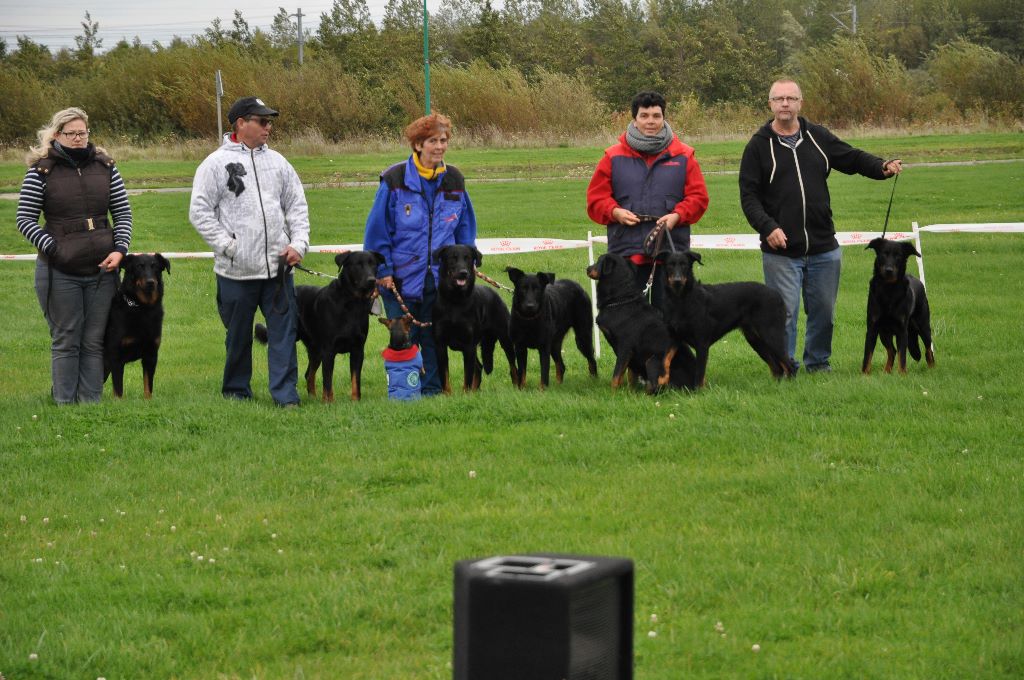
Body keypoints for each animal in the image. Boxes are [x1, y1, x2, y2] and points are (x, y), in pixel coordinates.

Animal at [256, 249, 385, 399]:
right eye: (357, 264)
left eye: (374, 264)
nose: (372, 280)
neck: (352, 303)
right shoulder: (329, 350)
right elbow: (328, 382)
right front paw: (329, 402)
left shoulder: (358, 349)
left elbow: (355, 381)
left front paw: (355, 400)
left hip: (316, 349)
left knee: (308, 374)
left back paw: (313, 398)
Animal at [432, 244, 516, 393]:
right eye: (452, 258)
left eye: (468, 258)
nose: (463, 272)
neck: (455, 301)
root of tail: (495, 293)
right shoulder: (440, 345)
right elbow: (444, 377)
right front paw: (447, 395)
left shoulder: (469, 345)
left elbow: (467, 376)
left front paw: (465, 394)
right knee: (479, 366)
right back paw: (475, 391)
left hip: (505, 337)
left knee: (513, 366)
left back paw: (519, 386)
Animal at [585, 253, 688, 393]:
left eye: (599, 261)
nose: (587, 269)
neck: (620, 300)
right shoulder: (631, 354)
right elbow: (630, 374)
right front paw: (630, 392)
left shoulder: (625, 347)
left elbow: (617, 374)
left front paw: (613, 392)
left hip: (652, 361)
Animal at [659, 248, 794, 387]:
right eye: (670, 265)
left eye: (684, 265)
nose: (677, 280)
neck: (680, 300)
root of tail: (777, 295)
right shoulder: (673, 338)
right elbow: (665, 359)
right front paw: (661, 380)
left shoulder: (702, 343)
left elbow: (699, 373)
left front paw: (697, 390)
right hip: (755, 339)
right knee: (777, 368)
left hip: (771, 335)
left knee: (789, 365)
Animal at [864, 237, 937, 376]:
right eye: (884, 254)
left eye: (898, 256)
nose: (889, 270)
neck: (888, 289)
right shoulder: (873, 328)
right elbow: (867, 355)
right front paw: (865, 374)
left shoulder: (902, 330)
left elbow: (902, 356)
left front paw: (902, 374)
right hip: (884, 333)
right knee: (892, 351)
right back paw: (886, 371)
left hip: (923, 326)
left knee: (928, 350)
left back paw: (932, 369)